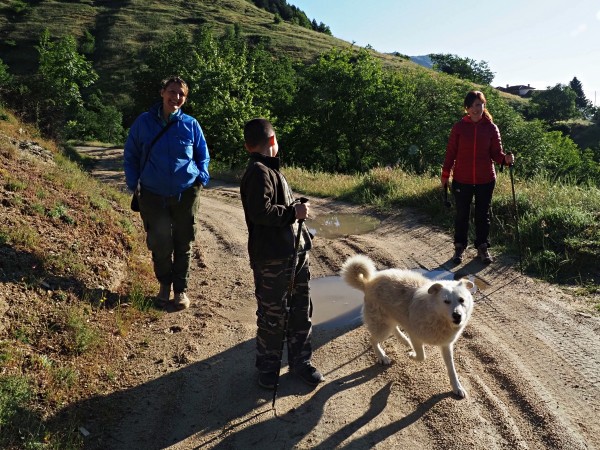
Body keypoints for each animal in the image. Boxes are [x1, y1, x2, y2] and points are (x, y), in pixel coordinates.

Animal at [340, 254, 474, 398]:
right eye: (446, 301)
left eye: (461, 300)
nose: (457, 316)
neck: (436, 315)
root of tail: (367, 283)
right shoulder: (415, 336)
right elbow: (421, 356)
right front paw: (411, 355)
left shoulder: (446, 345)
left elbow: (452, 369)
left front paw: (457, 388)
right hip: (382, 327)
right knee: (373, 339)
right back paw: (382, 356)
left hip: (391, 318)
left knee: (393, 328)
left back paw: (404, 341)